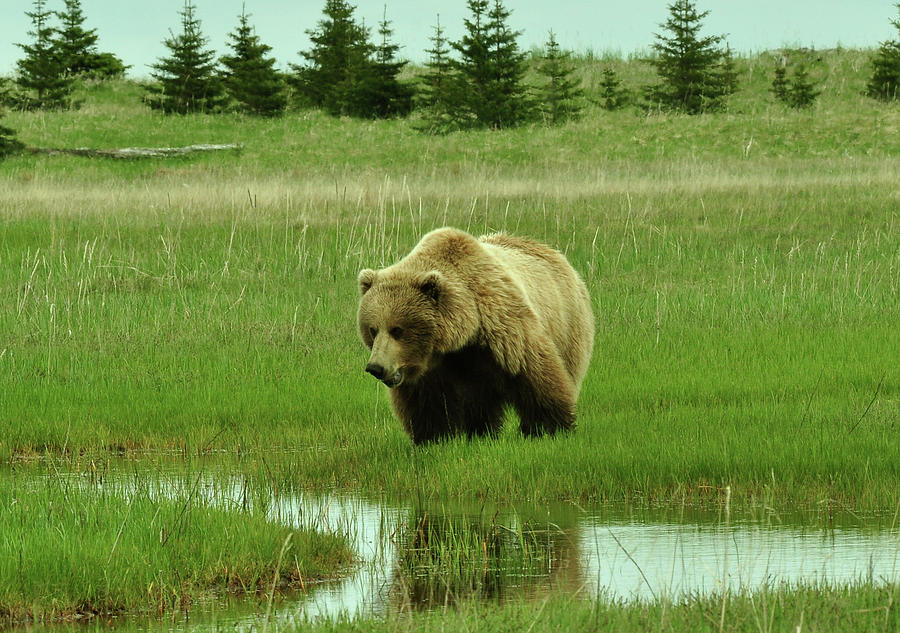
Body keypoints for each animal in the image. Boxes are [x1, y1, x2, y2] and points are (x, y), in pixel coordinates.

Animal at [356, 227, 596, 444]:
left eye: (398, 329)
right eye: (372, 329)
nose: (376, 367)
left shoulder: (503, 330)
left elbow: (536, 376)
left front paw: (549, 428)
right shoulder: (432, 369)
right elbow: (427, 405)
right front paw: (433, 439)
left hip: (568, 326)